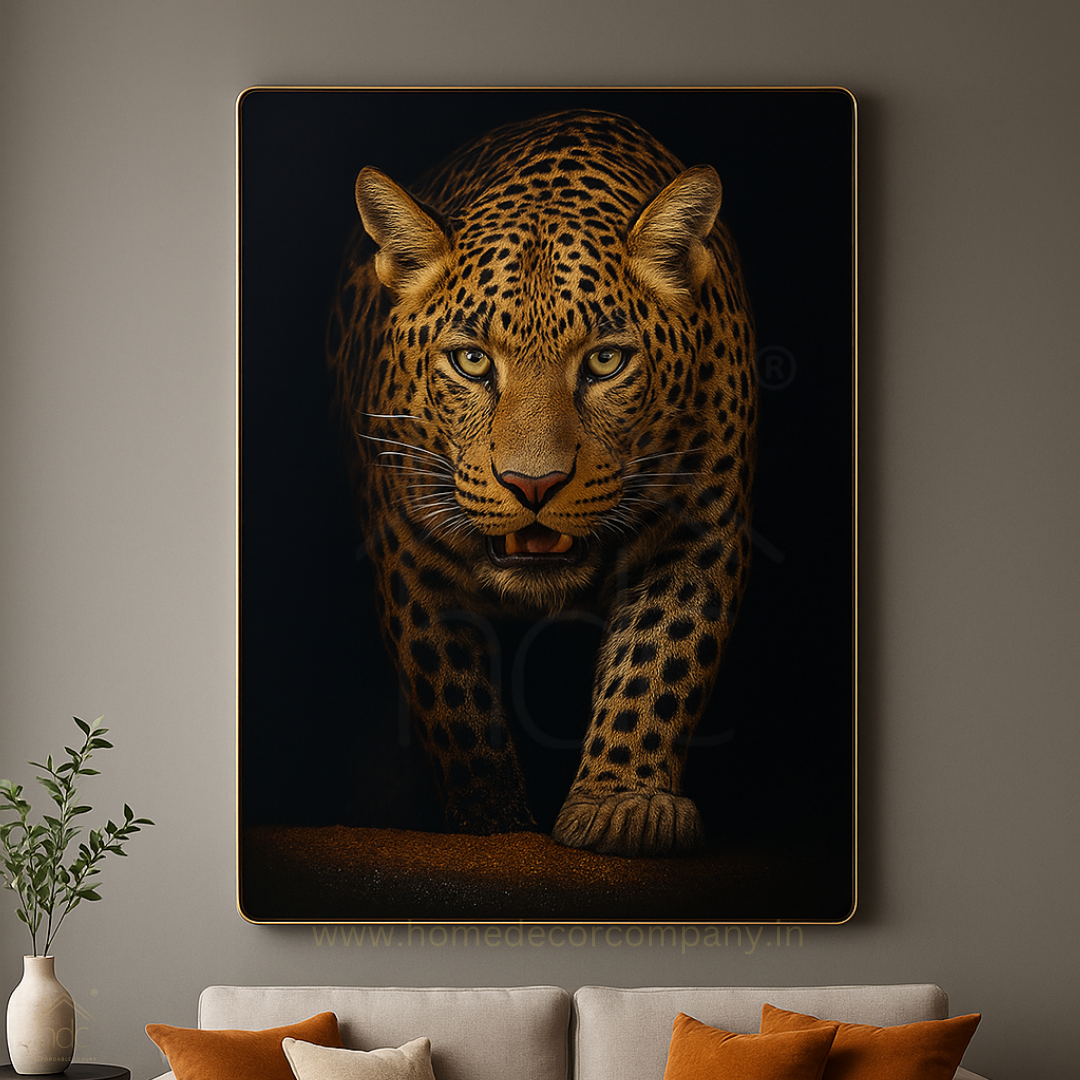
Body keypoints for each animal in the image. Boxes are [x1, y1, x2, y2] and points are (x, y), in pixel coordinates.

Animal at [327, 109, 757, 857]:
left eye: (606, 361)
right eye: (472, 361)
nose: (534, 485)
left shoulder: (699, 523)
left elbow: (661, 658)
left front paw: (622, 805)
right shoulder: (410, 549)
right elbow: (456, 700)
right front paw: (493, 823)